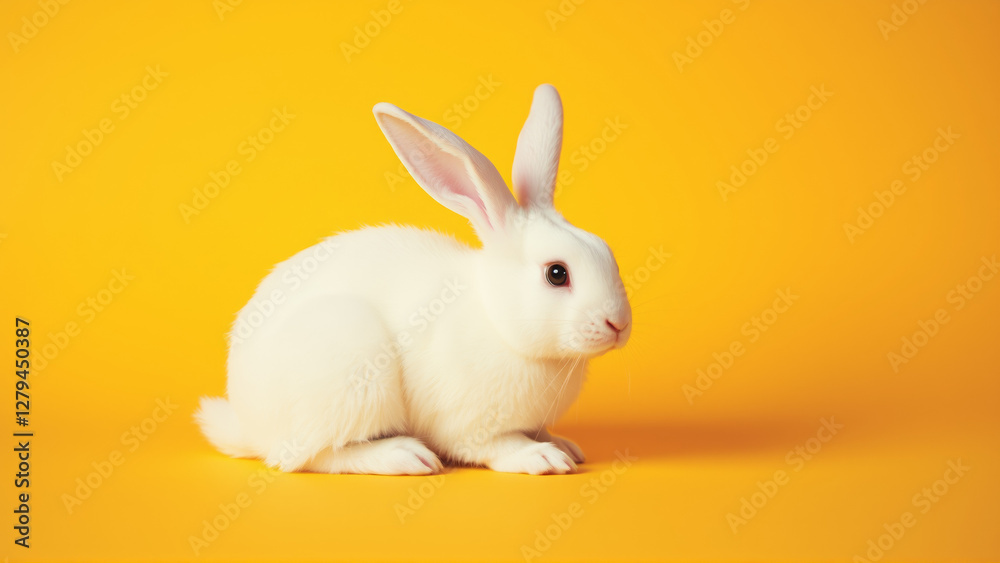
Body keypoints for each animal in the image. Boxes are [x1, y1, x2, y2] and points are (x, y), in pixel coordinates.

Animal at [195, 84, 632, 475]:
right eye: (556, 274)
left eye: (606, 251)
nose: (619, 324)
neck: (499, 323)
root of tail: (249, 425)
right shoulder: (467, 423)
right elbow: (495, 445)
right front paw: (541, 457)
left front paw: (563, 445)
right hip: (352, 370)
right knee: (311, 457)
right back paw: (404, 456)